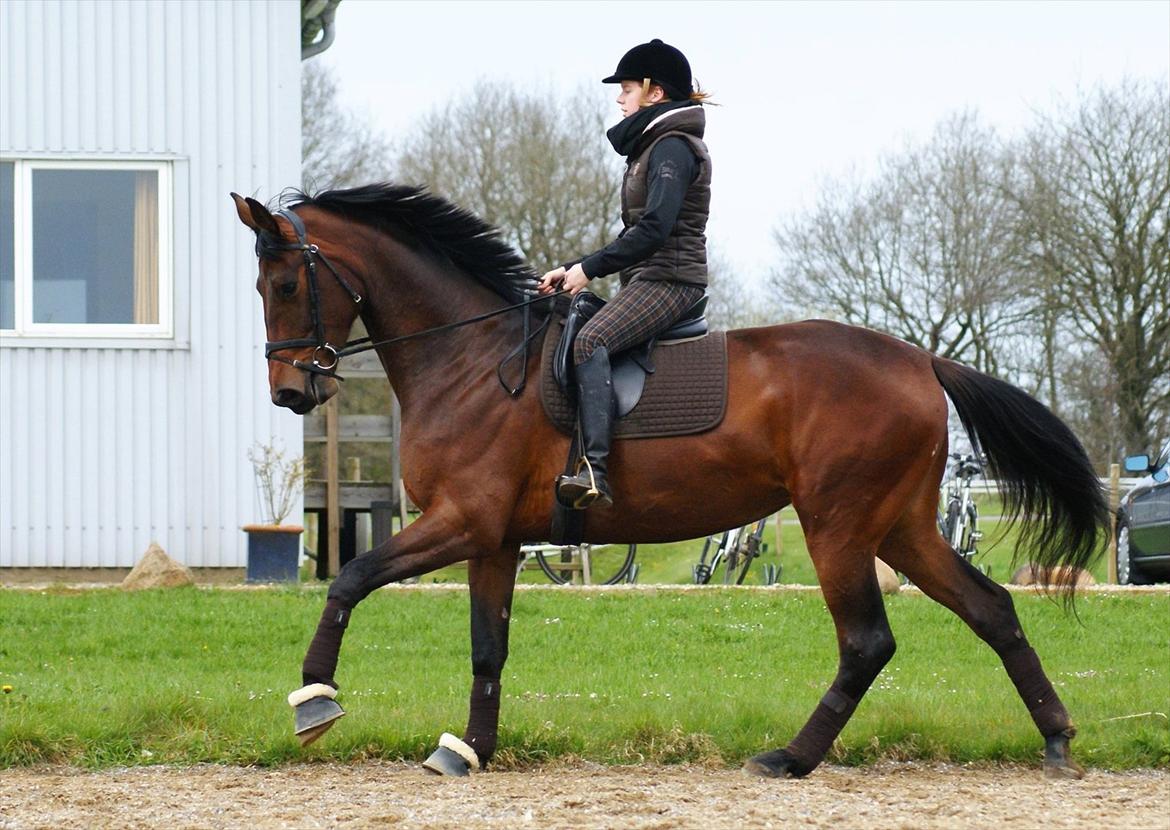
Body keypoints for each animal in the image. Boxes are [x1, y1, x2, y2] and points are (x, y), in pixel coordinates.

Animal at [235, 184, 1104, 782]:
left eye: (286, 286)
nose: (290, 394)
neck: (473, 361)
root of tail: (921, 359)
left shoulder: (460, 521)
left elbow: (349, 575)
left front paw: (315, 698)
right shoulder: (494, 539)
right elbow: (488, 648)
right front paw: (469, 749)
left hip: (839, 525)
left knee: (867, 642)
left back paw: (790, 758)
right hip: (902, 528)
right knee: (991, 609)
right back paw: (1056, 736)